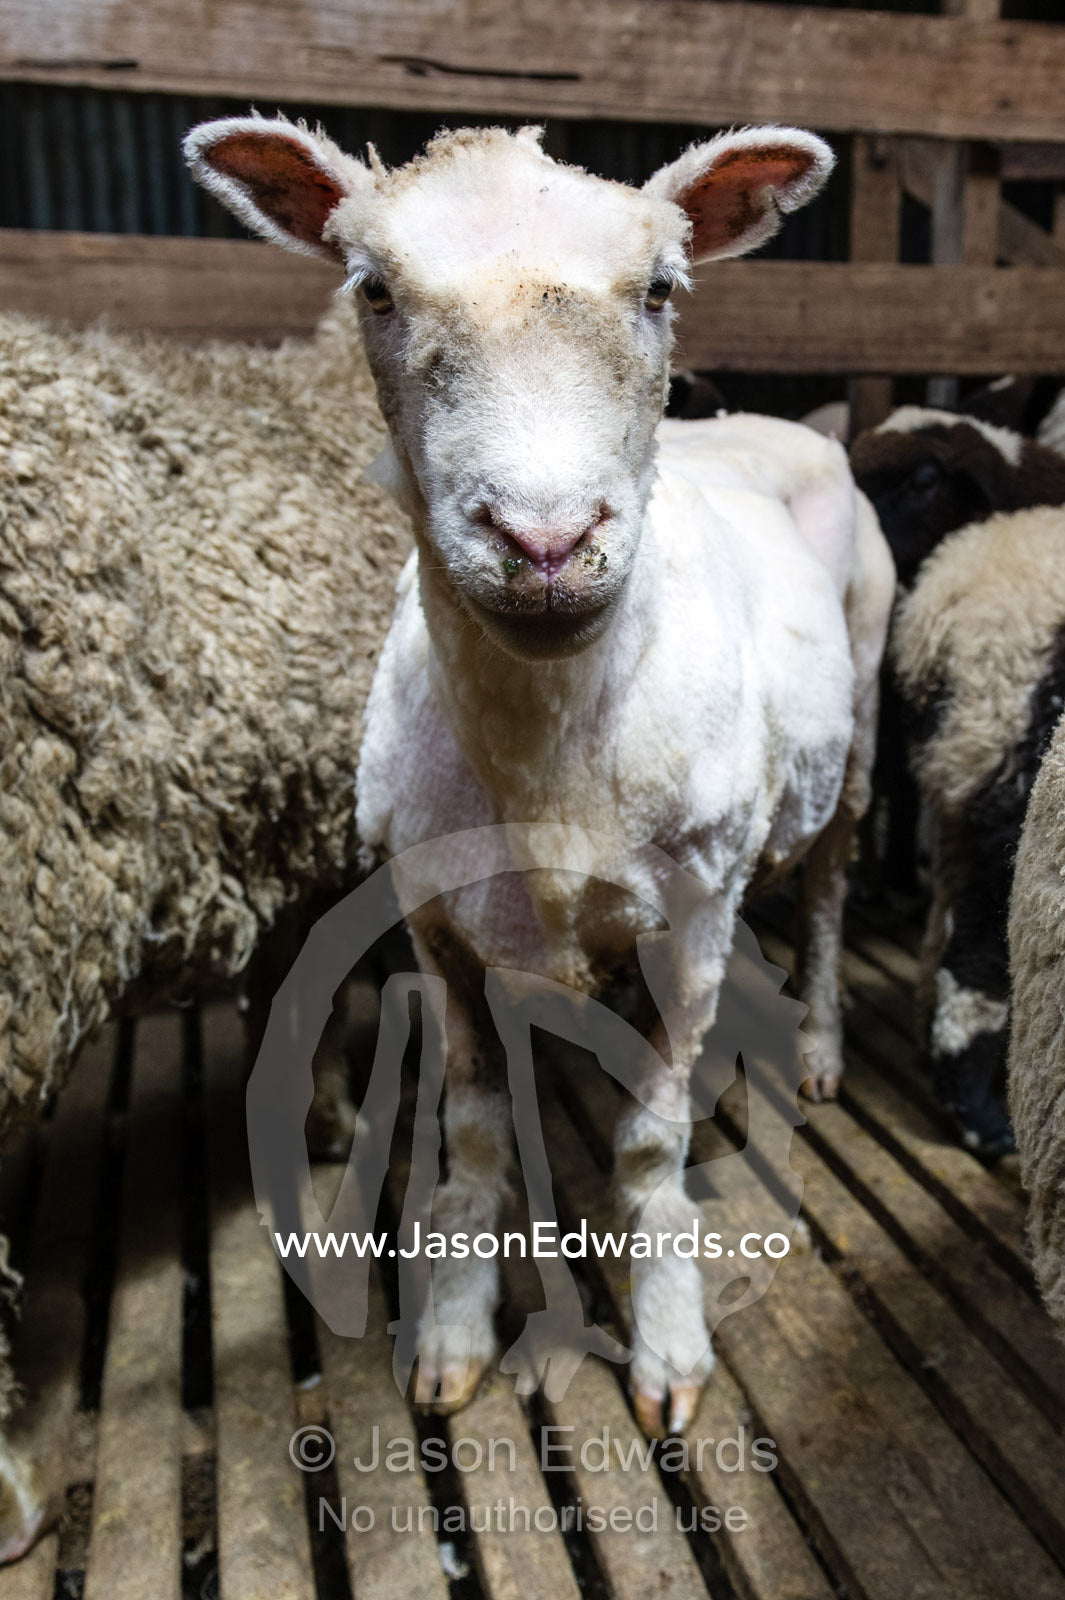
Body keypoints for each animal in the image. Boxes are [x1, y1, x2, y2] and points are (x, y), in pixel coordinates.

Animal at [187, 114, 895, 1438]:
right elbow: (468, 1134)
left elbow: (647, 1147)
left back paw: (821, 1042)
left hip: (864, 717)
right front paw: (454, 1332)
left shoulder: (694, 916)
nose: (548, 541)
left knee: (829, 890)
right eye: (374, 288)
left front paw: (668, 1340)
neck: (546, 756)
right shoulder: (434, 920)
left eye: (662, 288)